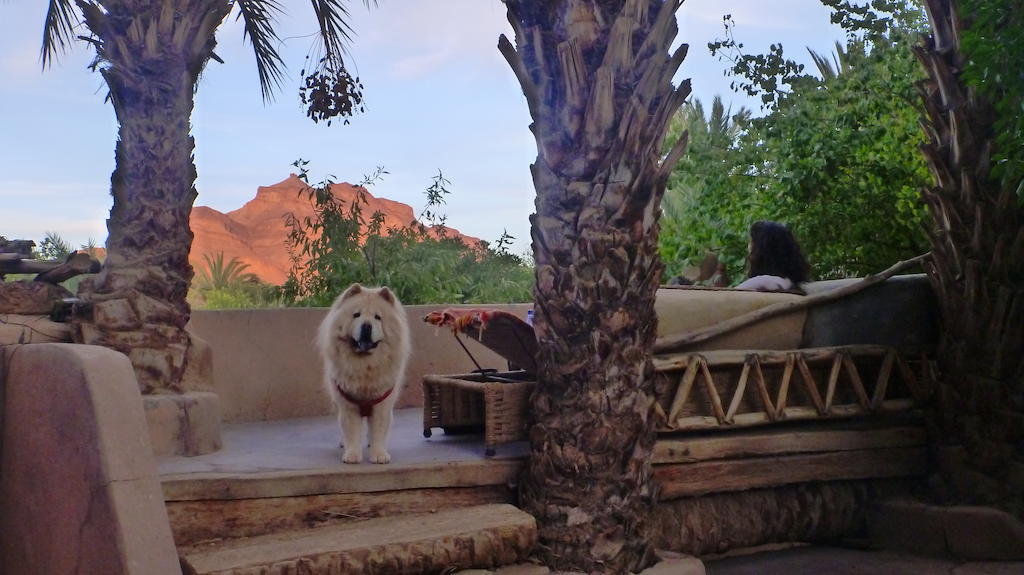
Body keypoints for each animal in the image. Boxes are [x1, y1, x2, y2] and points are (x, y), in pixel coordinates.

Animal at [321, 284, 413, 462]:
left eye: (378, 317)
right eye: (356, 315)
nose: (366, 326)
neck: (365, 366)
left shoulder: (382, 405)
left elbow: (378, 431)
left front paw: (379, 455)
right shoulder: (348, 405)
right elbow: (351, 431)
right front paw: (352, 455)